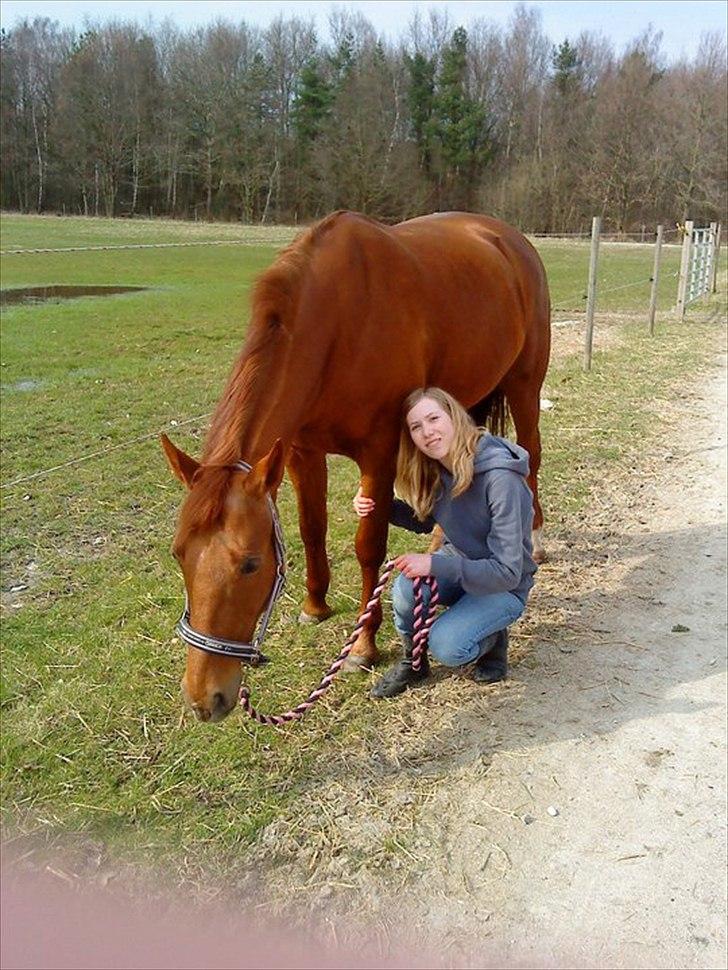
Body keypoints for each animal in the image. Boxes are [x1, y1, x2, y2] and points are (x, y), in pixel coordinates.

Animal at [162, 214, 548, 728]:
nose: (205, 700)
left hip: (525, 385)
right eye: (179, 555)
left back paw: (535, 540)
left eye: (250, 564)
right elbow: (312, 530)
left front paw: (363, 646)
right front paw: (314, 605)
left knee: (531, 458)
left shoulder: (378, 453)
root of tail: (507, 238)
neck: (338, 324)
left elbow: (369, 546)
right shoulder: (301, 452)